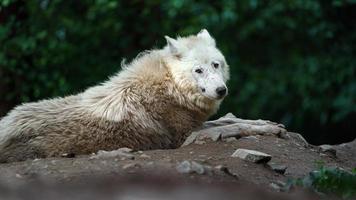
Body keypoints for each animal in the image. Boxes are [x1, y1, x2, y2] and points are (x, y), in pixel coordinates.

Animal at [0, 28, 229, 162]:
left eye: (216, 65)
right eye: (198, 70)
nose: (221, 90)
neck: (171, 84)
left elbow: (225, 122)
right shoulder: (184, 136)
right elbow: (224, 127)